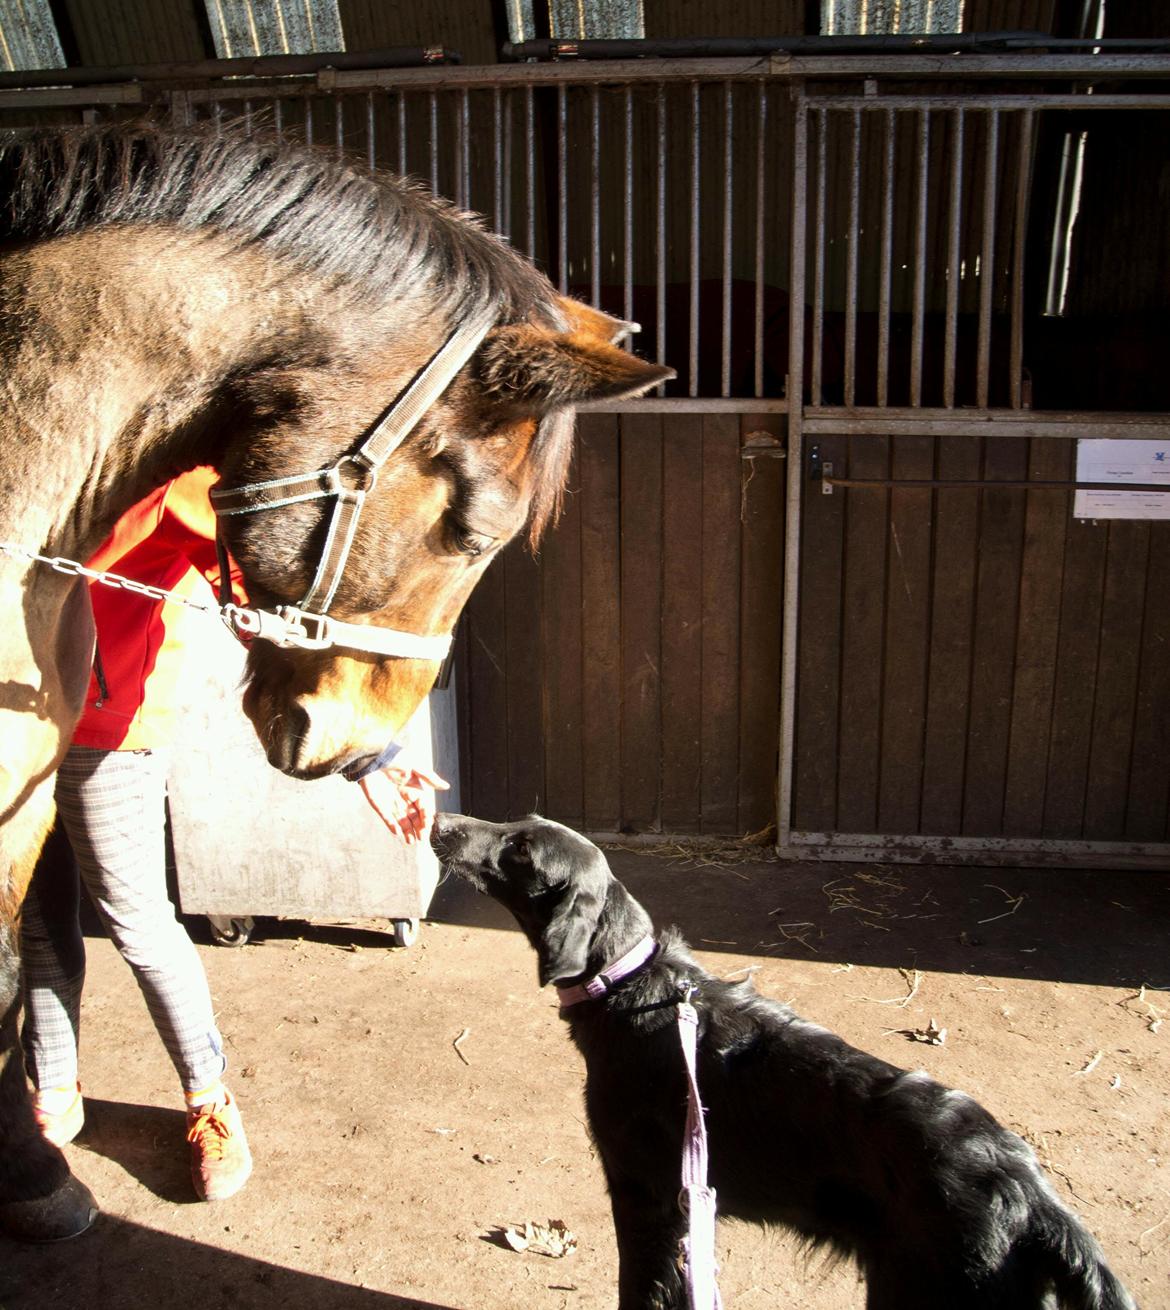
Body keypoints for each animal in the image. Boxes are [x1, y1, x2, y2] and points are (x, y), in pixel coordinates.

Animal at [434, 812, 1137, 1304]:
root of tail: (1034, 1195)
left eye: (521, 849)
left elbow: (640, 1287)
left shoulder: (641, 1192)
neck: (633, 988)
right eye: (516, 823)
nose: (440, 820)